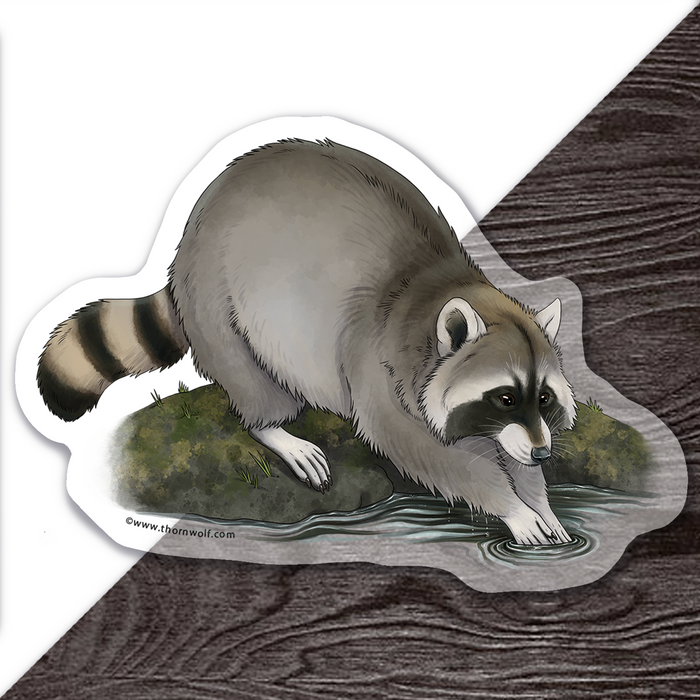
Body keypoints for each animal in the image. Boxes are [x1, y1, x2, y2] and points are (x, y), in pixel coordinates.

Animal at [38, 138, 576, 545]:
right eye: (504, 397)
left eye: (543, 398)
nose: (544, 455)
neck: (437, 286)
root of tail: (187, 241)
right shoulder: (376, 363)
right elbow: (418, 448)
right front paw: (512, 506)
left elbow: (502, 446)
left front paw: (538, 496)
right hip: (216, 295)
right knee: (246, 373)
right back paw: (272, 427)